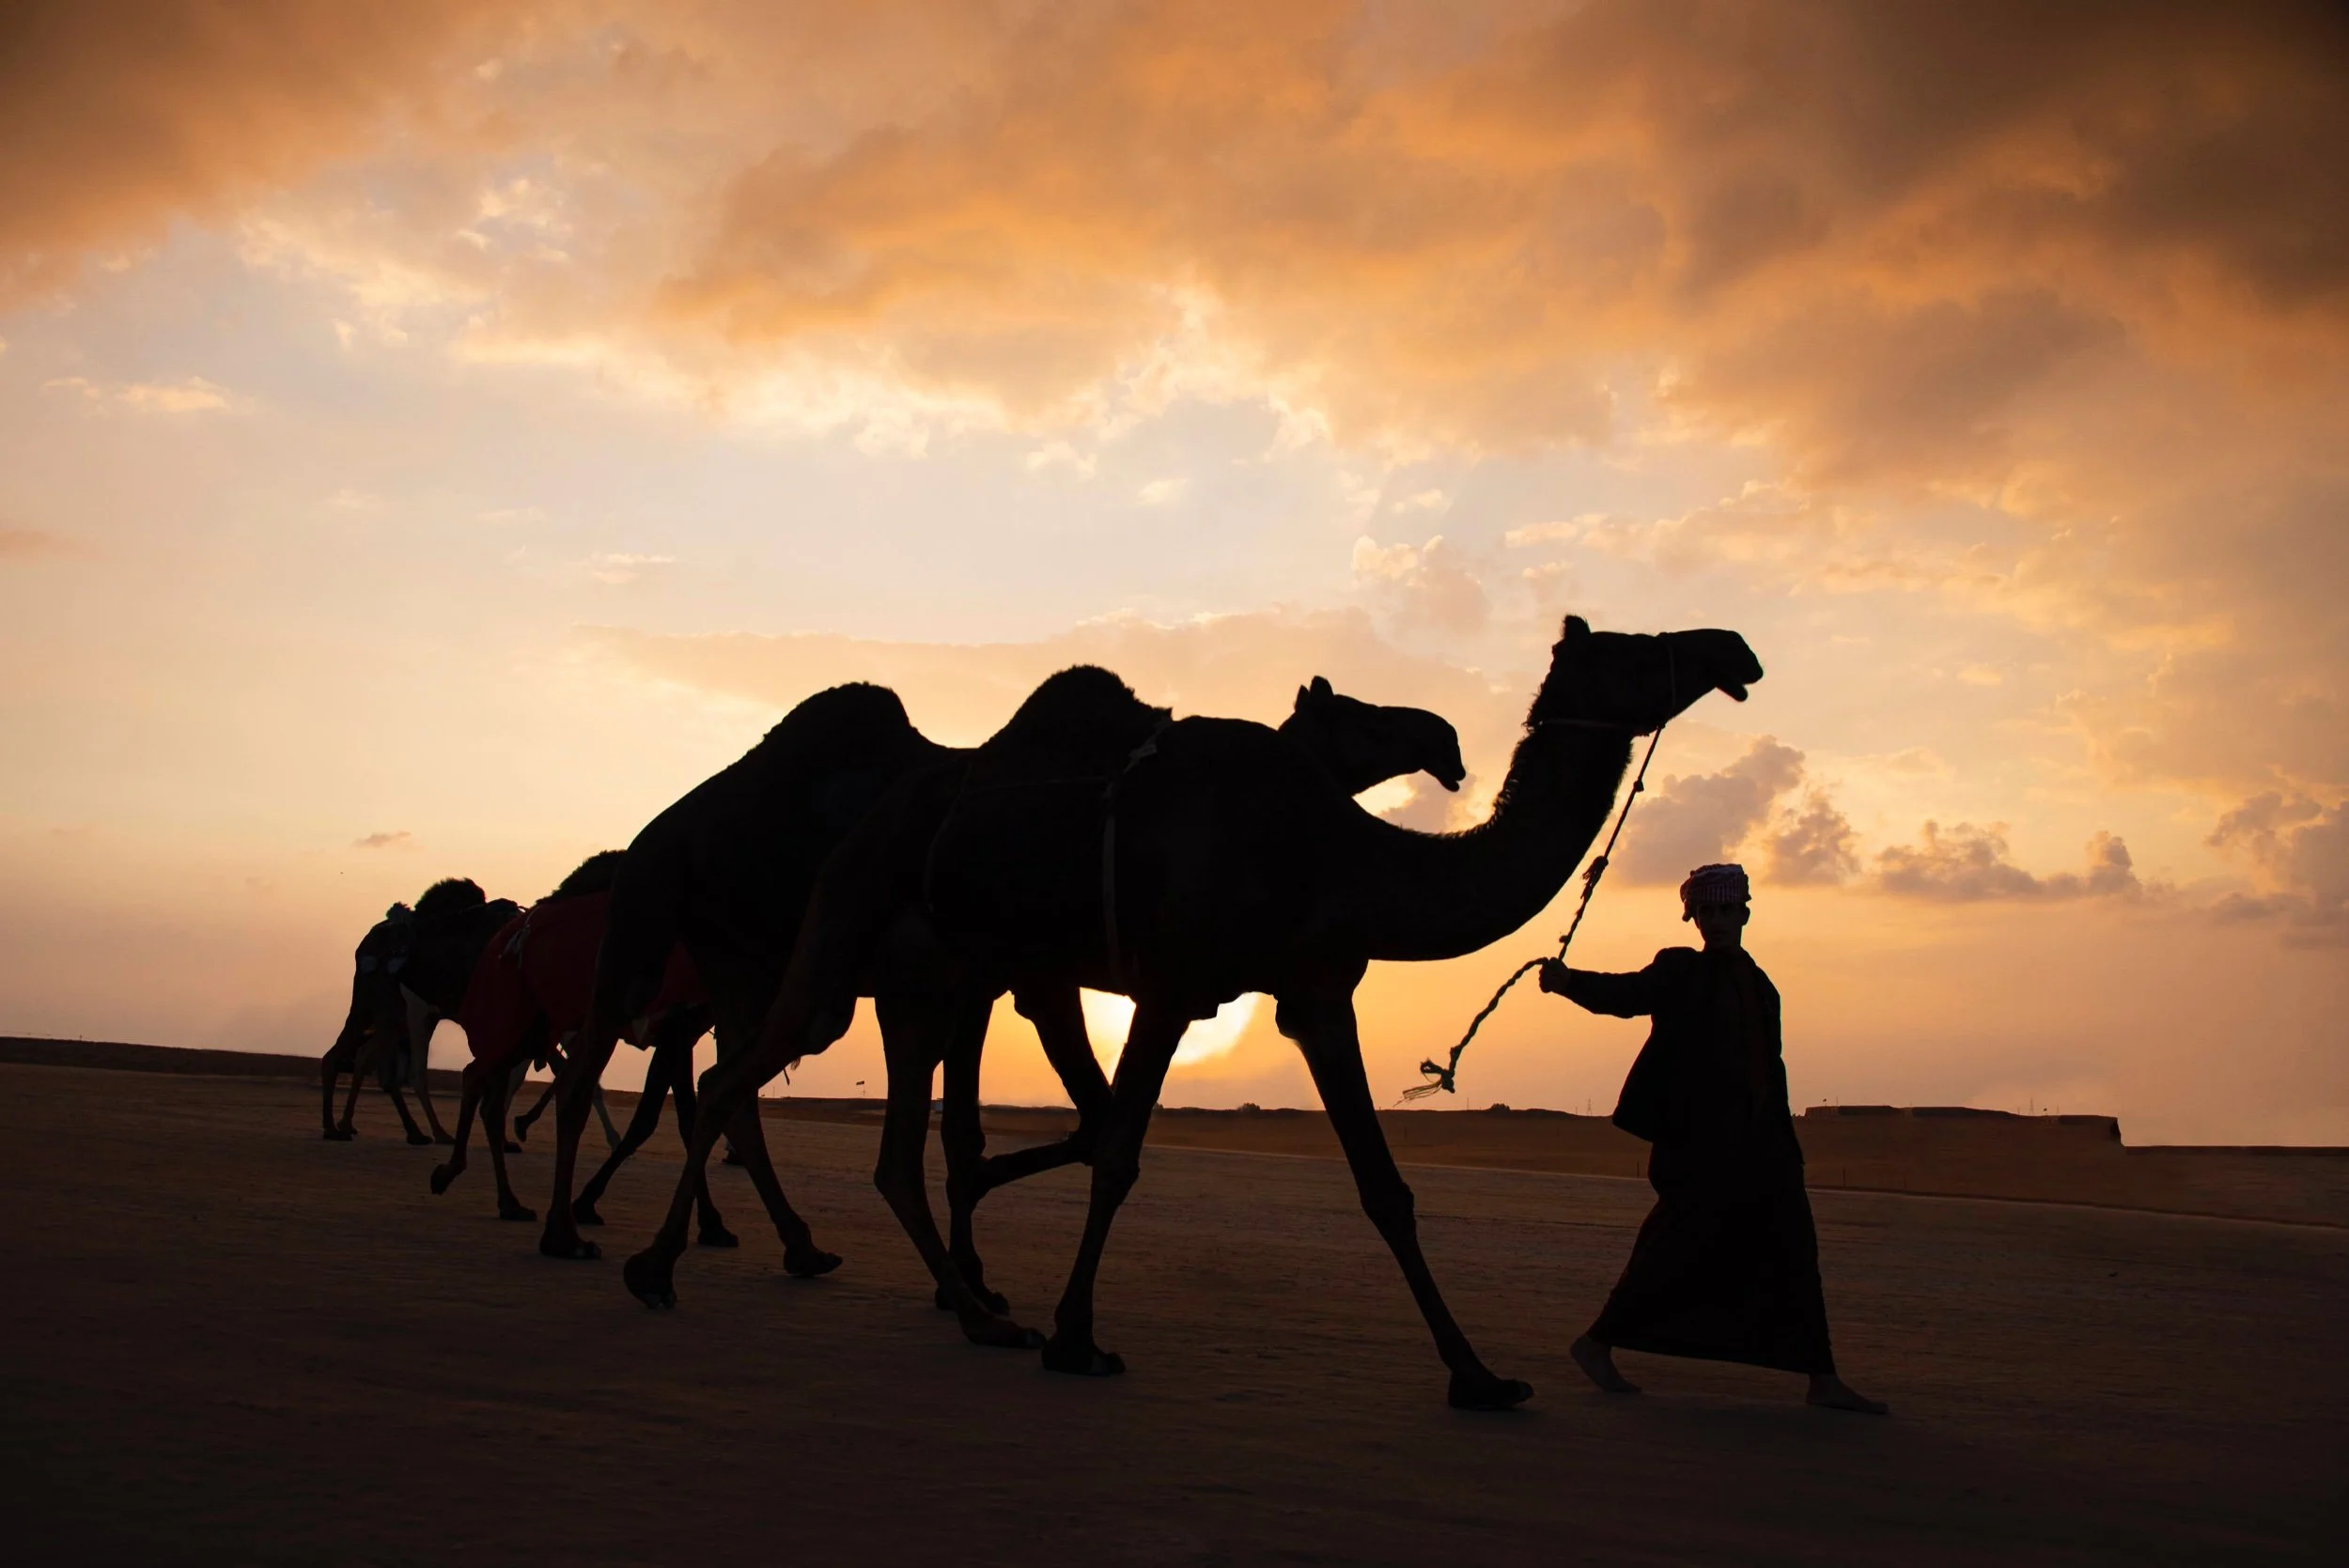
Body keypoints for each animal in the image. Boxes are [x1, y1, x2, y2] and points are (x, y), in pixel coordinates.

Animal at [532, 676, 1468, 1310]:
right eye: (1356, 713)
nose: (1446, 739)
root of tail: (660, 825)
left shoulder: (981, 984)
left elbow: (976, 1125)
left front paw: (972, 1272)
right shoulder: (1030, 980)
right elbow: (1053, 1122)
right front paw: (972, 1272)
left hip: (742, 966)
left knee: (727, 1087)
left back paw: (788, 1245)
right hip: (646, 917)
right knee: (596, 1069)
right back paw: (566, 1230)